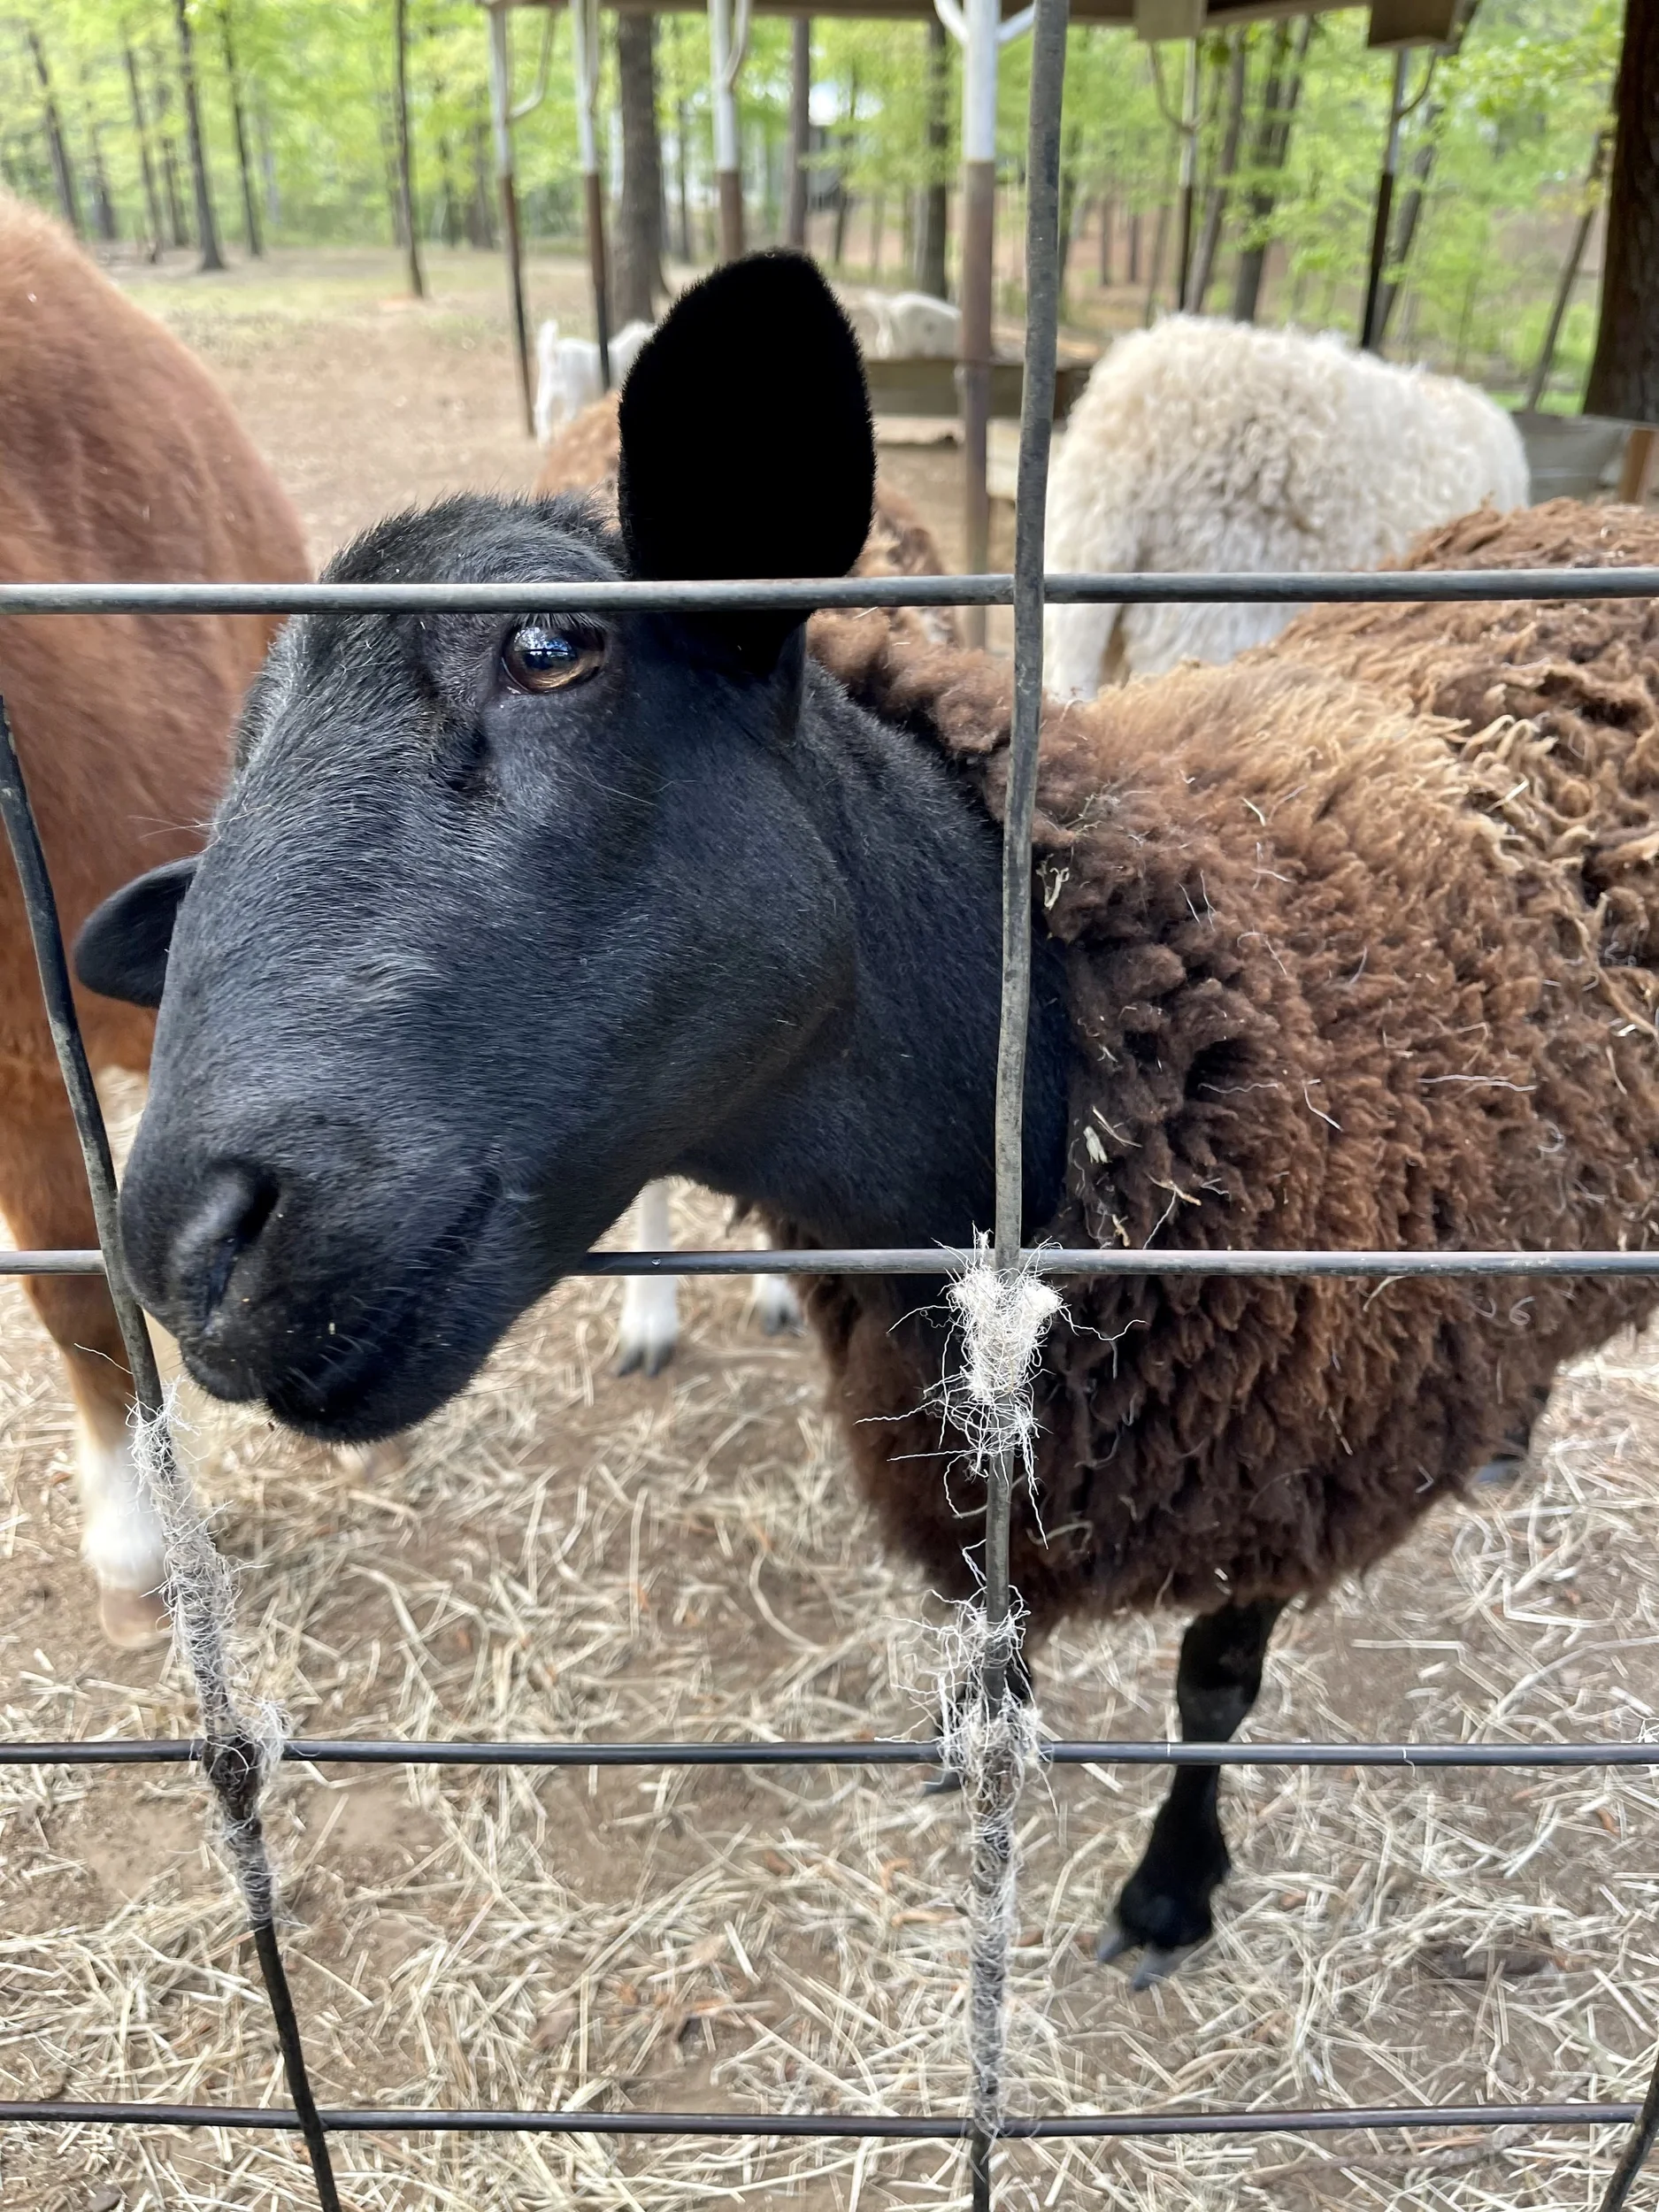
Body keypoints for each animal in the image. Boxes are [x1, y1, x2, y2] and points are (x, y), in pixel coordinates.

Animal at [535, 316, 659, 444]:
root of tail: (555, 352)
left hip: (547, 389)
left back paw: (545, 440)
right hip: (573, 396)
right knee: (566, 419)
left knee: (543, 411)